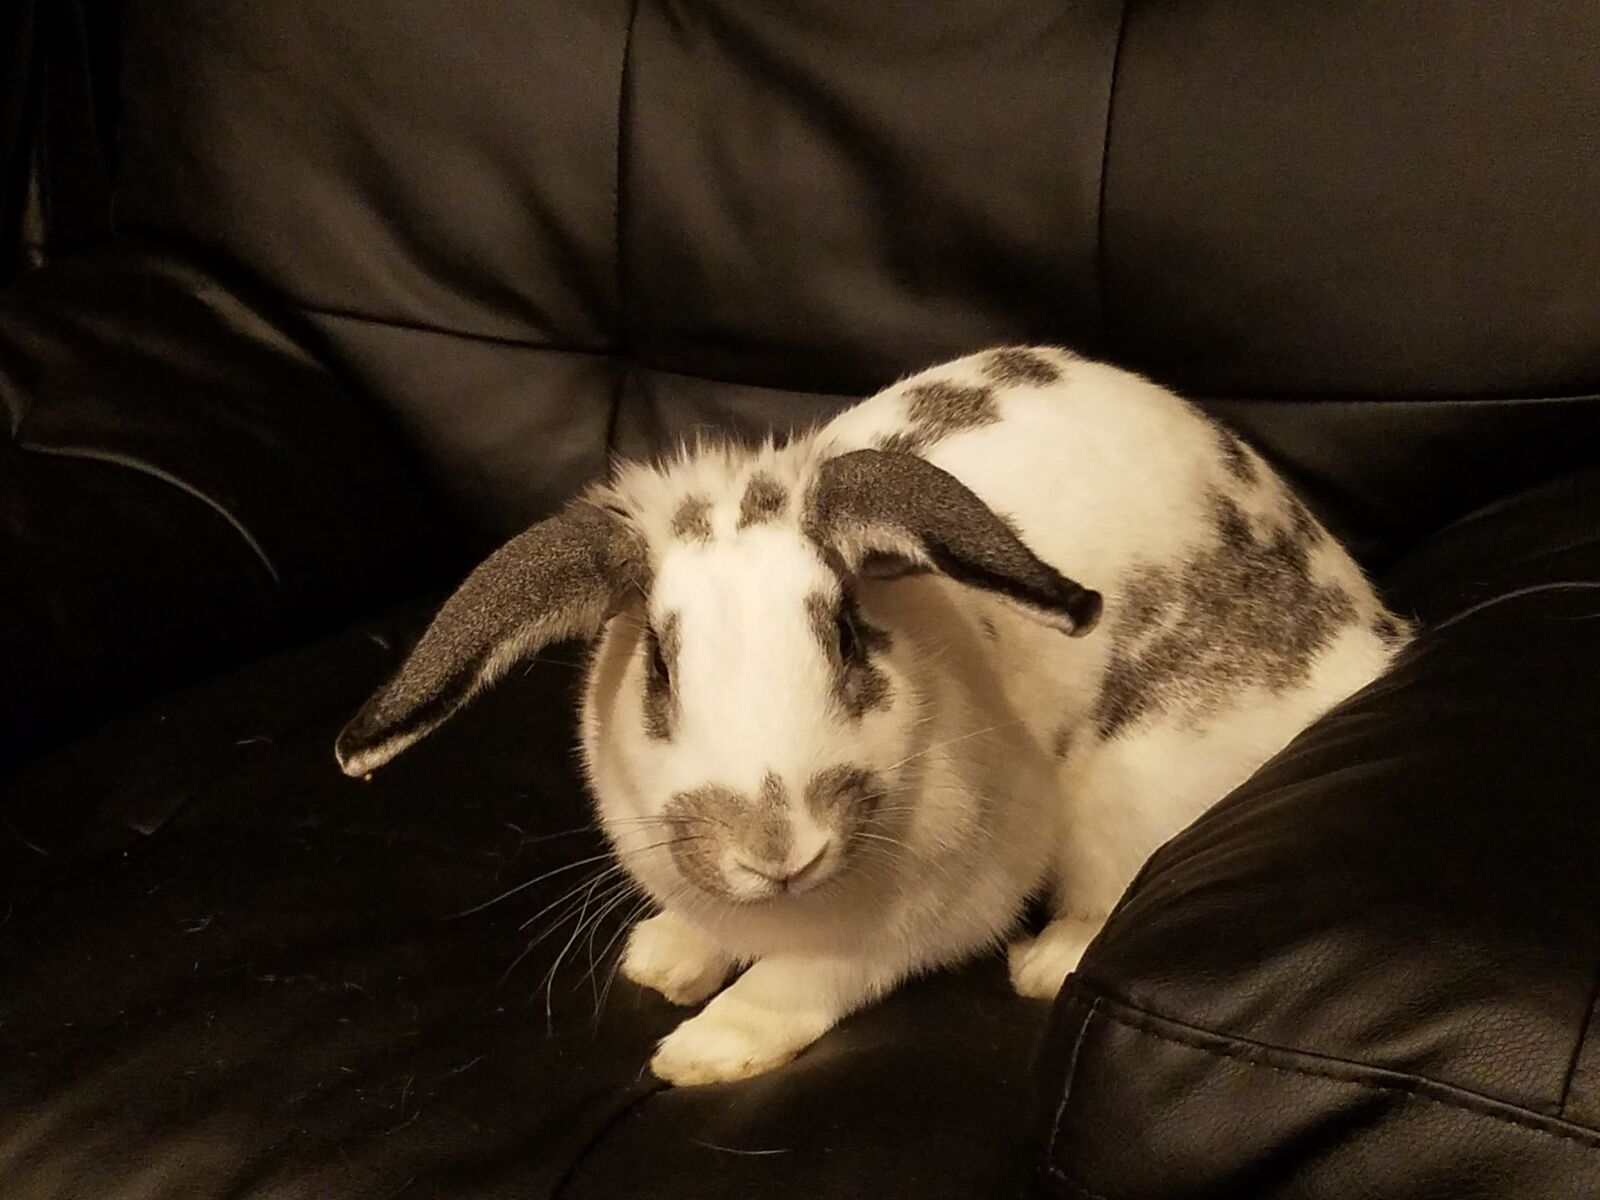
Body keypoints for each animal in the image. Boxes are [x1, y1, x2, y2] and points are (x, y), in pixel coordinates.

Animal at [335, 345, 1413, 1086]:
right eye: (658, 669)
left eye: (850, 636)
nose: (779, 849)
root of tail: (1373, 633)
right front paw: (662, 961)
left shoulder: (923, 914)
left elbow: (804, 983)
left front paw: (706, 1050)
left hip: (1135, 791)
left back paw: (1048, 962)